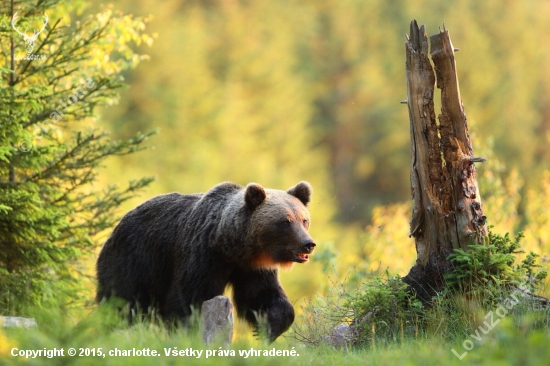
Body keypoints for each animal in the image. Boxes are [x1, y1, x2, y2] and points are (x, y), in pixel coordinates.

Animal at [97, 182, 316, 342]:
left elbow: (261, 296)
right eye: (285, 221)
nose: (308, 244)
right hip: (134, 261)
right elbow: (188, 298)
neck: (229, 246)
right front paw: (186, 332)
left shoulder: (252, 268)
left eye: (304, 220)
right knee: (121, 300)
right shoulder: (201, 256)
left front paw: (267, 328)